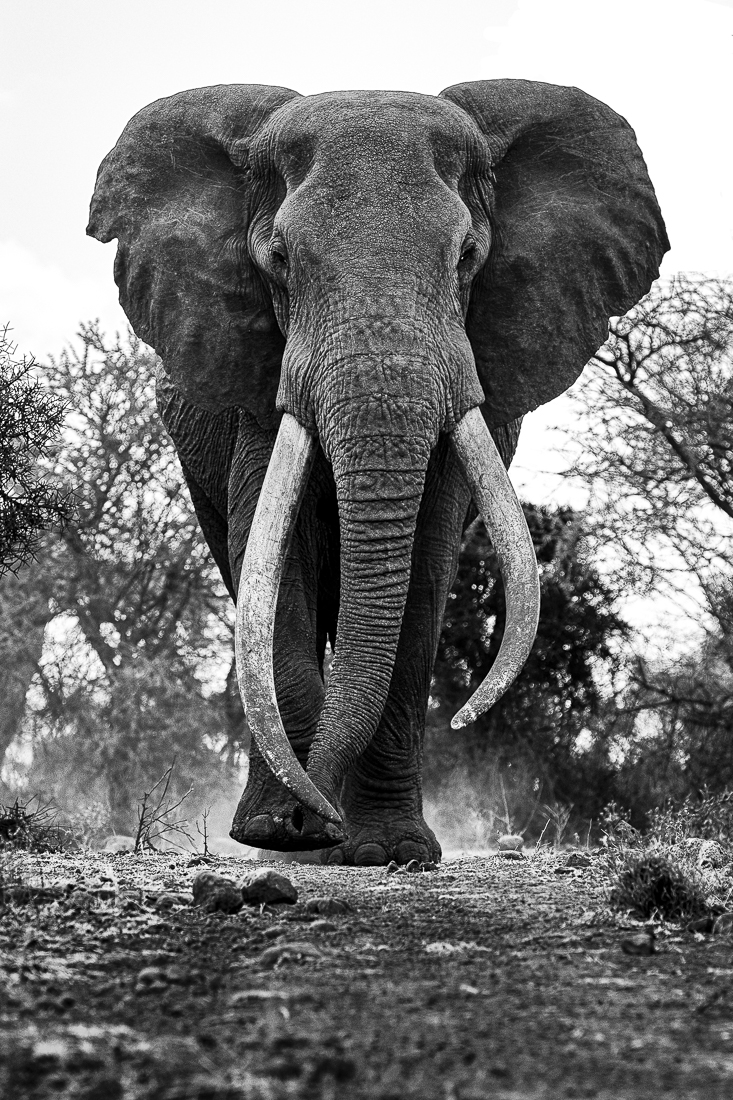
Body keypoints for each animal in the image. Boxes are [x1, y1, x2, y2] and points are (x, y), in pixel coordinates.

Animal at [87, 79, 668, 866]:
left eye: (467, 256)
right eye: (279, 260)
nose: (318, 819)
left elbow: (425, 563)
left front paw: (388, 849)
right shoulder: (257, 379)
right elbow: (274, 561)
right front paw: (282, 833)